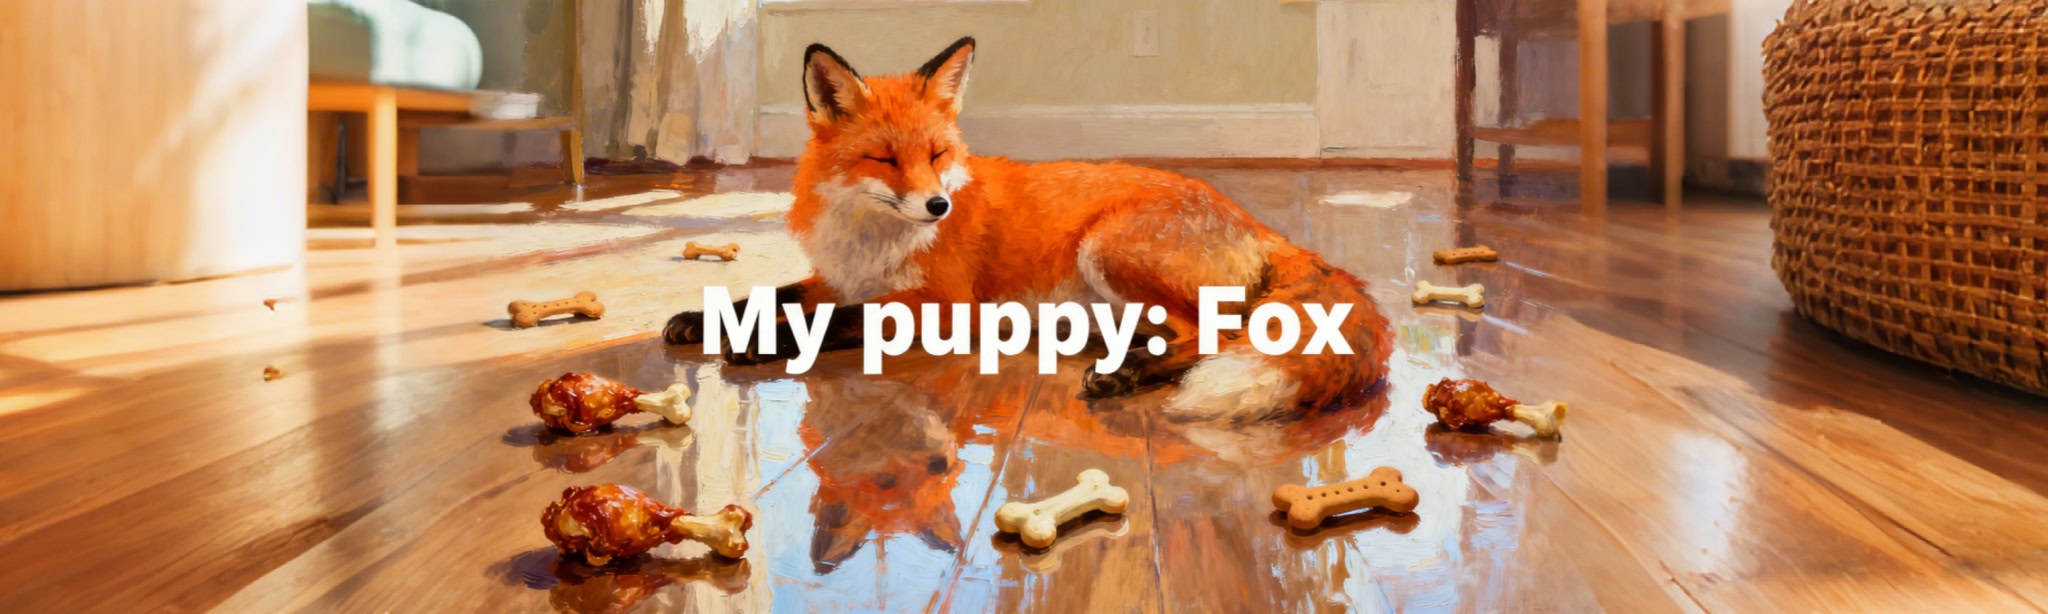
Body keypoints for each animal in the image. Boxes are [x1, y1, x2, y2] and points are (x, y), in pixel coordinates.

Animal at [664, 37, 1392, 421]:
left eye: (937, 155)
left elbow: (832, 322)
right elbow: (764, 297)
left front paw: (759, 343)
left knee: (1217, 333)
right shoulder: (839, 277)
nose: (938, 208)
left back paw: (1125, 377)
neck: (870, 234)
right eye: (885, 159)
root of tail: (1253, 221)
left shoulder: (940, 305)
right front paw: (700, 321)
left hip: (1110, 252)